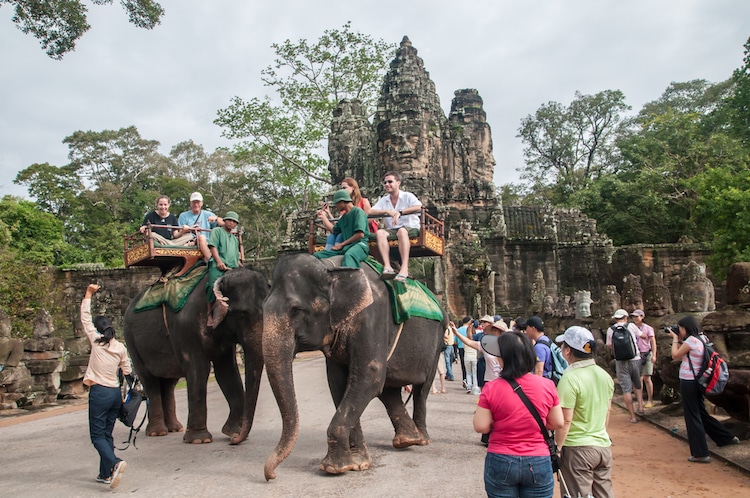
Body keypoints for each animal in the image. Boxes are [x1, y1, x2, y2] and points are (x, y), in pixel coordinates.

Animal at [126, 266, 270, 446]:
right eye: (243, 314)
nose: (234, 442)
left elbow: (227, 371)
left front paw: (232, 432)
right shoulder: (185, 329)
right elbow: (199, 369)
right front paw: (199, 440)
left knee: (168, 383)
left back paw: (174, 428)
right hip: (132, 344)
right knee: (150, 381)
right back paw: (157, 432)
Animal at [262, 255, 446, 480]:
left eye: (296, 310)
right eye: (262, 308)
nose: (271, 475)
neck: (331, 269)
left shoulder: (372, 317)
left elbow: (369, 377)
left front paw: (334, 468)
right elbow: (339, 383)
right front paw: (358, 463)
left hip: (437, 344)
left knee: (421, 390)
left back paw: (422, 440)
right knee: (388, 390)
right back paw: (406, 441)